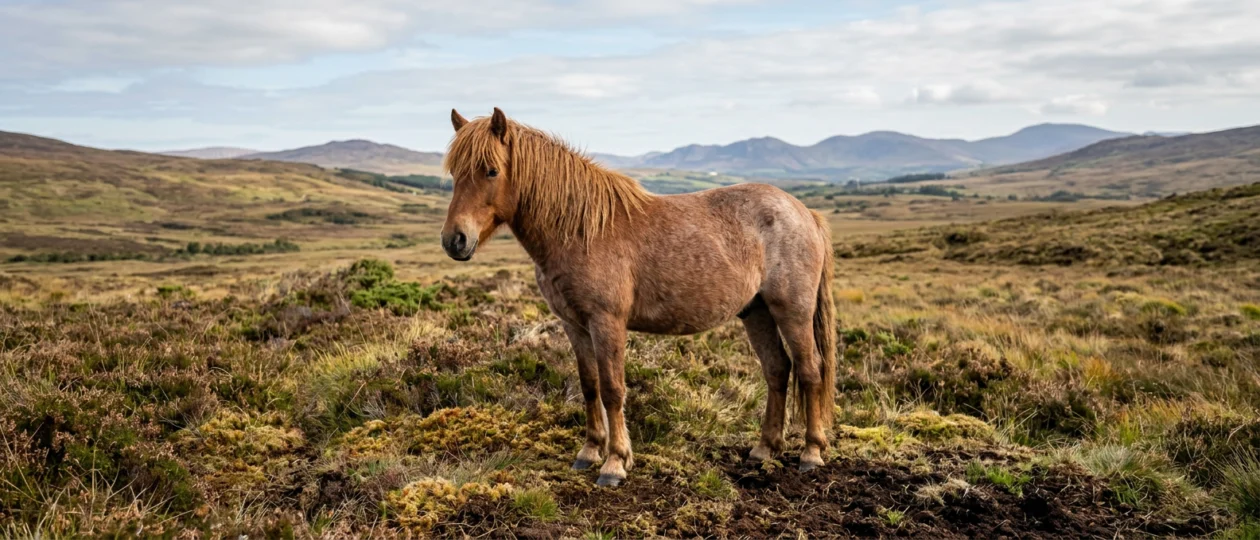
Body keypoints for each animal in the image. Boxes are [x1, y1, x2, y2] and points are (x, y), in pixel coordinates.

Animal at [440, 108, 836, 487]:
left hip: (792, 311)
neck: (581, 230)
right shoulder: (574, 325)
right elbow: (589, 385)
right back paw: (764, 448)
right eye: (454, 172)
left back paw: (811, 453)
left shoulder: (607, 322)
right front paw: (589, 451)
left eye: (491, 171)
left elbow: (613, 389)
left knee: (810, 370)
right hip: (756, 312)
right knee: (777, 369)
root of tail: (806, 212)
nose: (454, 240)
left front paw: (615, 463)